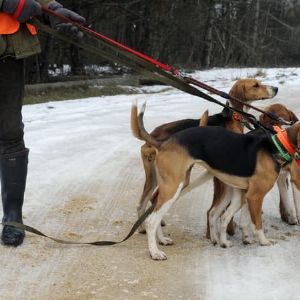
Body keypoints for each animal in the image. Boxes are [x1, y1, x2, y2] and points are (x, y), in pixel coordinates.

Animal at [132, 101, 300, 260]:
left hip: (178, 186)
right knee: (151, 221)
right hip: (173, 188)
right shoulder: (255, 196)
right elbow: (257, 223)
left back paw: (162, 240)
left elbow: (240, 219)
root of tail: (163, 143)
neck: (277, 145)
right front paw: (264, 241)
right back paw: (155, 252)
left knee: (155, 212)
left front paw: (237, 240)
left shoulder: (246, 194)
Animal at [134, 78, 278, 233]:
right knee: (155, 202)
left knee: (144, 202)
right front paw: (228, 229)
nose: (276, 88)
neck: (232, 117)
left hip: (156, 178)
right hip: (176, 179)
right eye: (256, 85)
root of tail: (153, 137)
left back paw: (144, 228)